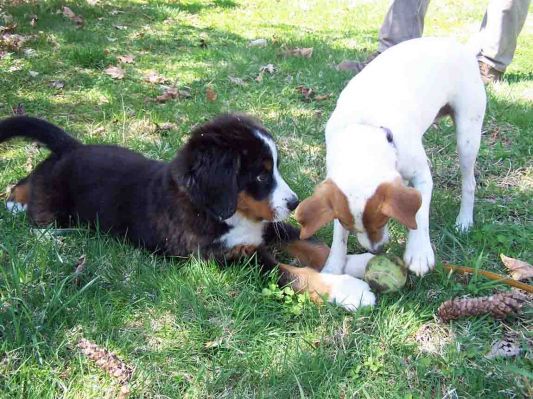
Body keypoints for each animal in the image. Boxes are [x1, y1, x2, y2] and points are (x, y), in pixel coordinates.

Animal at [296, 36, 486, 290]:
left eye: (384, 220)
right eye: (349, 227)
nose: (376, 250)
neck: (365, 130)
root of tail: (462, 47)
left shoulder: (422, 177)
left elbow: (419, 214)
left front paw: (419, 252)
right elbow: (338, 236)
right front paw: (334, 266)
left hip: (467, 136)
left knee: (469, 183)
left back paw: (464, 221)